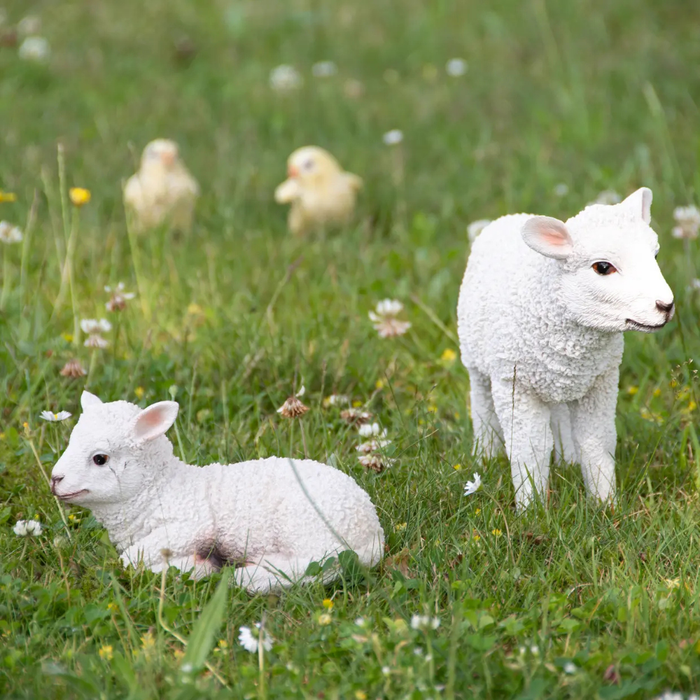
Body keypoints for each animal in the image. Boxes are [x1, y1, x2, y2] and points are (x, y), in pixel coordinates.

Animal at [50, 392, 385, 592]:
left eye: (100, 459)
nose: (55, 479)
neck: (159, 488)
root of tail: (373, 529)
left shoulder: (192, 523)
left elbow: (131, 560)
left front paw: (195, 568)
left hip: (307, 524)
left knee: (327, 564)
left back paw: (252, 576)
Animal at [457, 188, 674, 508]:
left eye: (656, 255)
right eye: (603, 267)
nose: (666, 306)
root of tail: (508, 217)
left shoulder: (600, 381)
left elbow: (597, 440)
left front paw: (605, 504)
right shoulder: (516, 384)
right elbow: (529, 447)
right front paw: (532, 508)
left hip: (558, 379)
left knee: (559, 416)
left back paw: (568, 460)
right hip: (476, 359)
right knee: (482, 405)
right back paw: (484, 456)